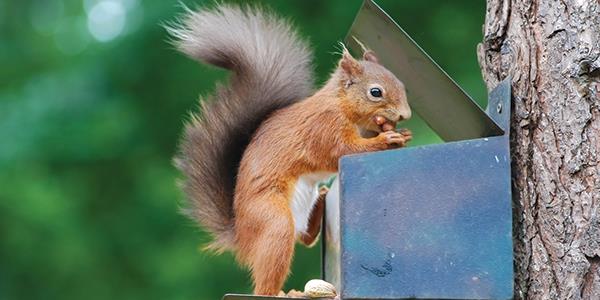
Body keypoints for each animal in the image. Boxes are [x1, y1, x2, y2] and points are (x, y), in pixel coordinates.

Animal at [169, 3, 412, 296]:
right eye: (375, 92)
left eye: (401, 84)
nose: (406, 114)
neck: (340, 104)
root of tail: (241, 236)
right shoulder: (324, 128)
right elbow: (342, 150)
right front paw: (385, 139)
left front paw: (399, 133)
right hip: (273, 222)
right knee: (267, 279)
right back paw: (286, 292)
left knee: (306, 237)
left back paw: (321, 202)